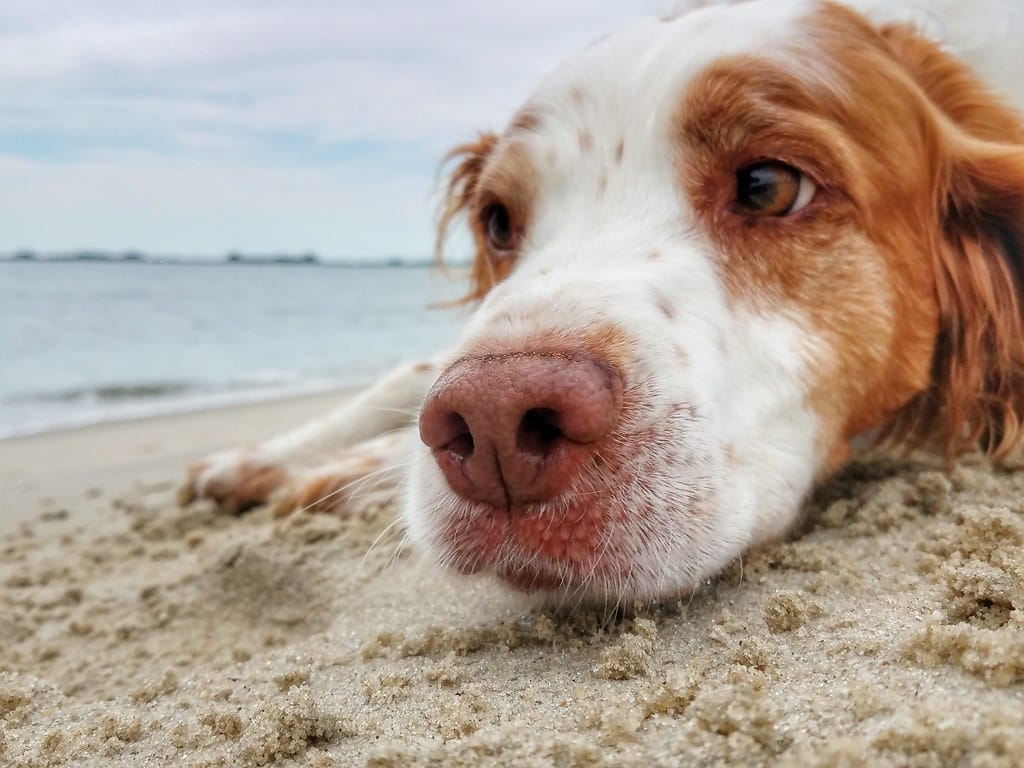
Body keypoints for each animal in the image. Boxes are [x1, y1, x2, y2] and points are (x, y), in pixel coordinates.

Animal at [180, 0, 1024, 602]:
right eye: (498, 221)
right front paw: (265, 456)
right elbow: (409, 372)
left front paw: (338, 473)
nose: (493, 423)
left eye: (768, 186)